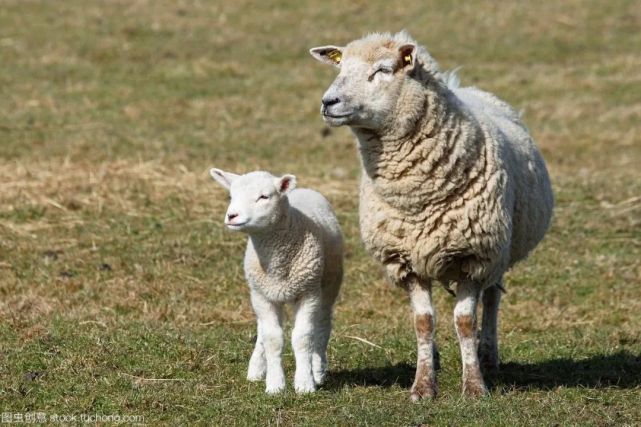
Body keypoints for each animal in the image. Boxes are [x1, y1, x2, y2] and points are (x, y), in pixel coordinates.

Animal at [210, 168, 342, 394]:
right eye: (231, 196)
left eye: (264, 197)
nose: (232, 216)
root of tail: (305, 189)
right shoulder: (262, 296)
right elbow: (271, 338)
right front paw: (274, 384)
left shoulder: (309, 293)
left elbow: (302, 337)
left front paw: (305, 383)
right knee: (262, 330)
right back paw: (256, 369)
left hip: (329, 285)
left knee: (323, 325)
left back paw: (318, 370)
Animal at [308, 30, 552, 402]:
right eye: (341, 67)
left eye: (382, 70)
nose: (328, 102)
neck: (419, 196)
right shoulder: (404, 259)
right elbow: (423, 321)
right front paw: (423, 385)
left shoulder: (474, 256)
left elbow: (465, 322)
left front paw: (474, 386)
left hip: (498, 251)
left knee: (492, 297)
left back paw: (487, 354)